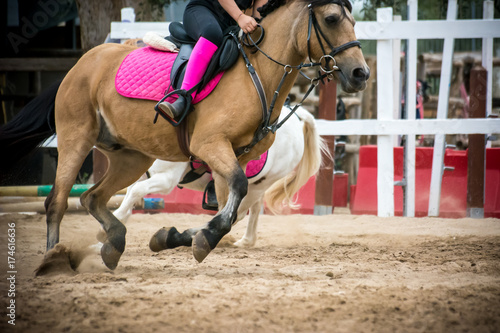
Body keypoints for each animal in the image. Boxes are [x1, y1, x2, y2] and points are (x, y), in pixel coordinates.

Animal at [111, 104, 326, 246]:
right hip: (256, 185)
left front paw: (114, 224)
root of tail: (297, 118)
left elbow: (135, 192)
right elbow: (130, 195)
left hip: (257, 186)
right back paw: (244, 241)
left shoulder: (167, 179)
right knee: (251, 210)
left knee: (236, 214)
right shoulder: (141, 175)